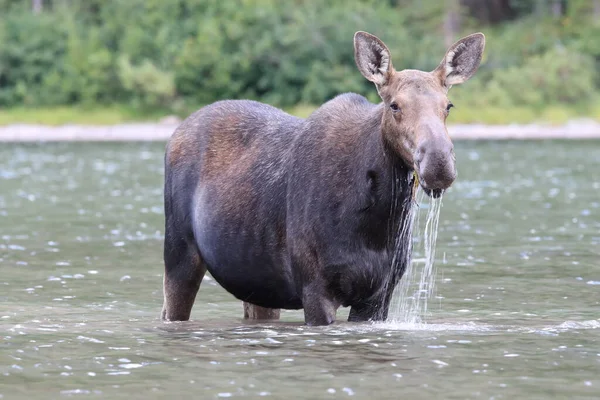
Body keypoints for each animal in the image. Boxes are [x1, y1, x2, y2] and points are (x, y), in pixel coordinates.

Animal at [162, 30, 486, 324]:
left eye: (448, 106)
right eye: (394, 104)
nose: (438, 162)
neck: (377, 223)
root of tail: (176, 133)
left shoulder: (379, 296)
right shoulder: (315, 288)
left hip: (256, 281)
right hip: (179, 254)